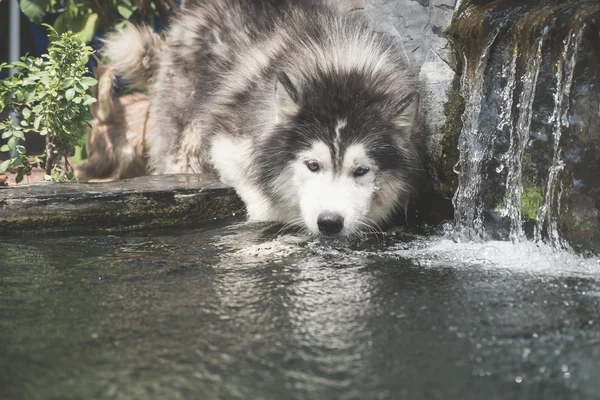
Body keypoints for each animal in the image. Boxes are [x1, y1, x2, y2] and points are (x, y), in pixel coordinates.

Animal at [104, 0, 422, 238]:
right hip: (186, 141)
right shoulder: (227, 141)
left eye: (361, 171)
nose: (329, 223)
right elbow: (262, 201)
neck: (337, 68)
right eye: (313, 165)